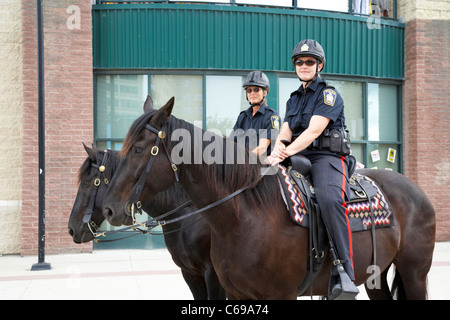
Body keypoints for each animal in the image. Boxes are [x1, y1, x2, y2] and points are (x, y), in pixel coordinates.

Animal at [103, 97, 436, 300]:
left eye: (138, 149)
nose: (109, 209)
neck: (243, 216)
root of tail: (416, 191)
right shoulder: (229, 290)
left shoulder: (276, 294)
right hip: (374, 277)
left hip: (414, 274)